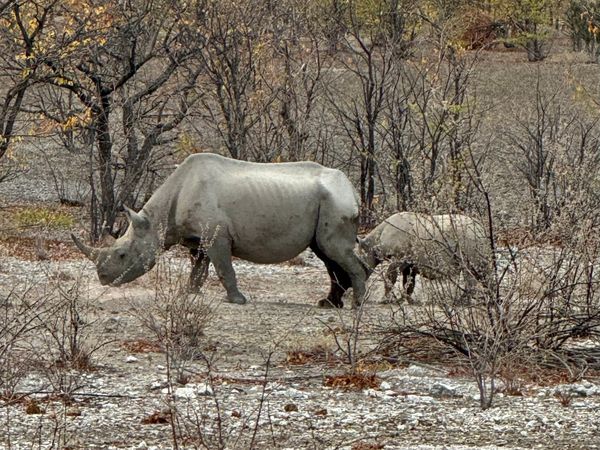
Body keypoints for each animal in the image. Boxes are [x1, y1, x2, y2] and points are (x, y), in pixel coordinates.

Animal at [72, 153, 368, 308]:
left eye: (122, 254)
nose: (103, 278)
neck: (156, 220)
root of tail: (352, 190)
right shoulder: (199, 237)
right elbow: (199, 268)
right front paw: (189, 293)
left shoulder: (218, 236)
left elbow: (224, 268)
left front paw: (237, 300)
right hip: (329, 203)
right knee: (326, 253)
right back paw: (328, 304)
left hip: (334, 202)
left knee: (333, 250)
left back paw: (356, 306)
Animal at [358, 213, 490, 304]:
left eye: (360, 263)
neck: (373, 242)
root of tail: (481, 228)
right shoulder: (409, 262)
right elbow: (408, 282)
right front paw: (407, 300)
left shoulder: (398, 258)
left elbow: (391, 277)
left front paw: (384, 300)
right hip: (474, 239)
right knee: (481, 272)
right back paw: (487, 300)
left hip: (468, 239)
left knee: (469, 271)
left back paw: (460, 302)